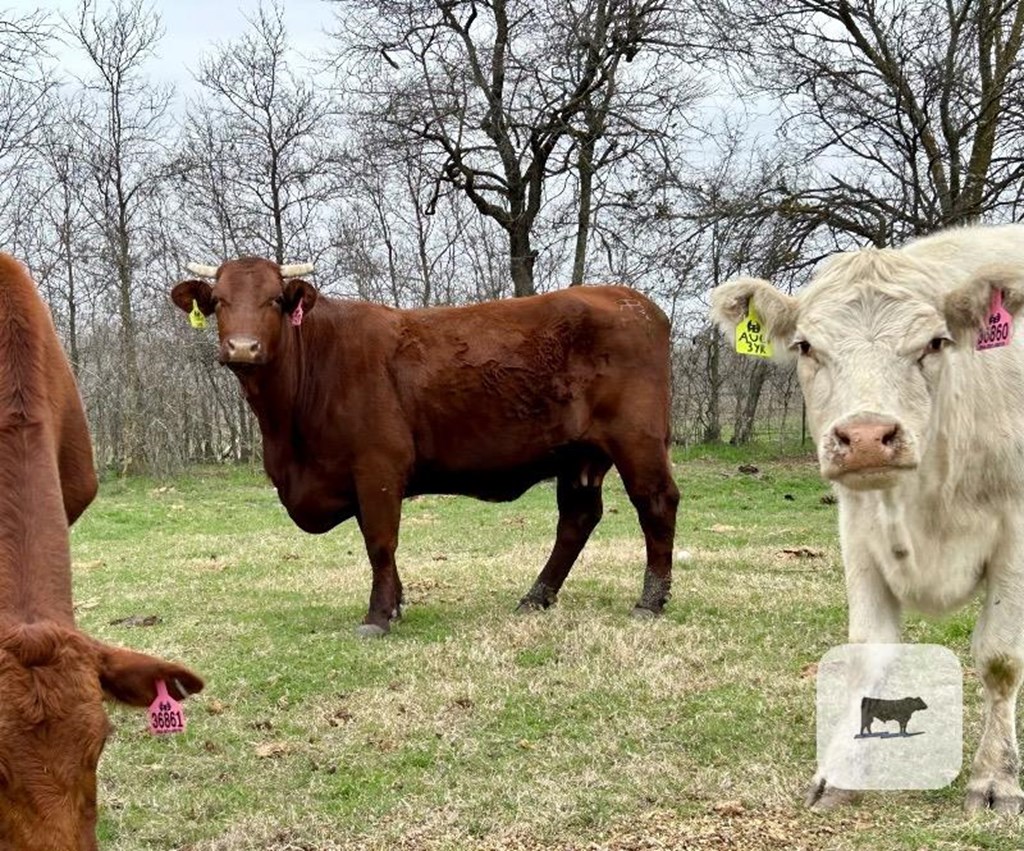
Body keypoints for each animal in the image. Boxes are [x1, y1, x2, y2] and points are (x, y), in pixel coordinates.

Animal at [169, 260, 679, 639]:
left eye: (275, 300)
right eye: (218, 302)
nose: (243, 347)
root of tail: (633, 301)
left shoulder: (377, 467)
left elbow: (380, 542)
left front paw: (377, 617)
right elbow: (378, 545)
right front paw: (395, 605)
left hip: (637, 440)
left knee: (656, 503)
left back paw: (650, 601)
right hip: (577, 455)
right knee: (577, 518)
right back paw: (536, 596)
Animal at [716, 224, 1024, 811]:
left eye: (935, 343)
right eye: (806, 346)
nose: (863, 437)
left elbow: (1001, 659)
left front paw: (995, 779)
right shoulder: (858, 532)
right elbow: (867, 651)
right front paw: (839, 771)